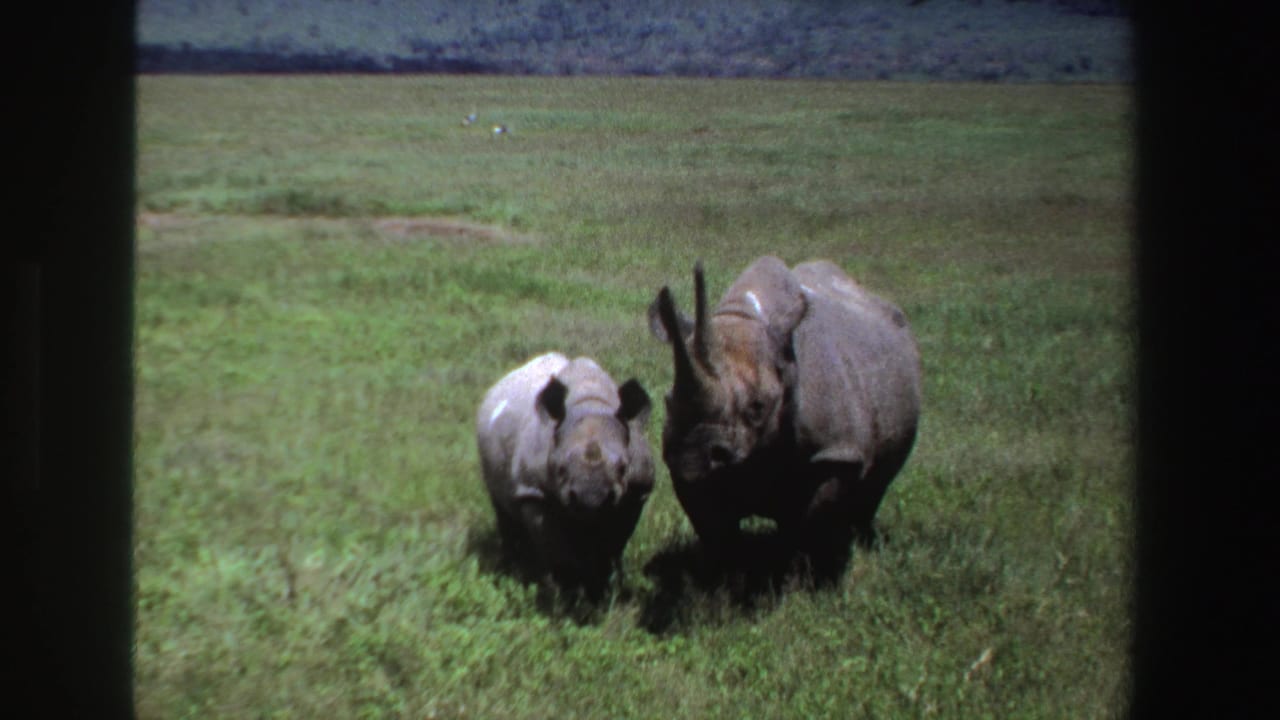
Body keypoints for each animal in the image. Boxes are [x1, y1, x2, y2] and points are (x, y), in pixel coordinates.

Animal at [476, 352, 654, 592]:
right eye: (559, 468)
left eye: (623, 468)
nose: (591, 499)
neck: (591, 404)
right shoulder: (535, 493)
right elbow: (556, 549)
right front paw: (568, 591)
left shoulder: (636, 494)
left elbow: (613, 543)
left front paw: (601, 586)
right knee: (502, 505)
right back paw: (514, 569)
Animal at [648, 256, 921, 570]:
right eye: (668, 400)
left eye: (758, 407)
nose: (693, 453)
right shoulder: (688, 471)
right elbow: (716, 529)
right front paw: (728, 575)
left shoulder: (836, 452)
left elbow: (813, 521)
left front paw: (803, 574)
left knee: (875, 486)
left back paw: (863, 541)